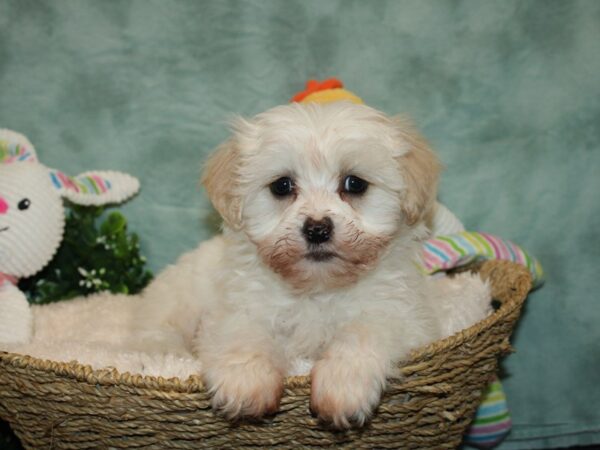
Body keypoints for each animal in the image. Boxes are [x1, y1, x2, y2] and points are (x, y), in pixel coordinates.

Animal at [5, 101, 492, 428]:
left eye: (354, 184)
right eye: (282, 186)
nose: (317, 228)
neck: (316, 289)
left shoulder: (401, 317)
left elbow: (360, 334)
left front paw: (342, 387)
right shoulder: (236, 309)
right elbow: (244, 337)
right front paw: (246, 385)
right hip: (169, 311)